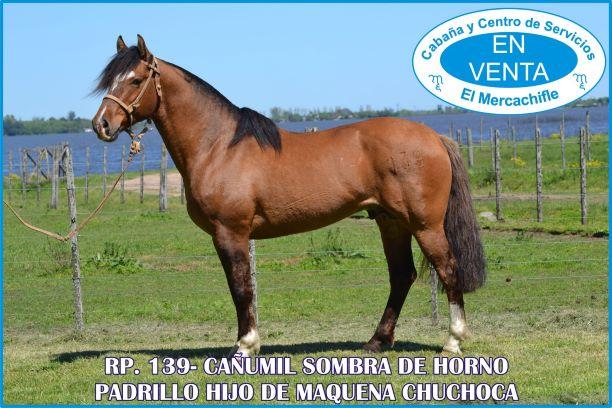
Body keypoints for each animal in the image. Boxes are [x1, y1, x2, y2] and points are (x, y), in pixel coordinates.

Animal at [92, 35, 486, 356]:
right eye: (109, 81)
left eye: (136, 80)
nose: (101, 125)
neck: (218, 146)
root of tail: (434, 137)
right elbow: (241, 288)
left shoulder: (230, 232)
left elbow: (241, 288)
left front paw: (245, 347)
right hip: (391, 222)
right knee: (402, 275)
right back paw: (377, 341)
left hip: (424, 225)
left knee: (447, 270)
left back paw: (452, 342)